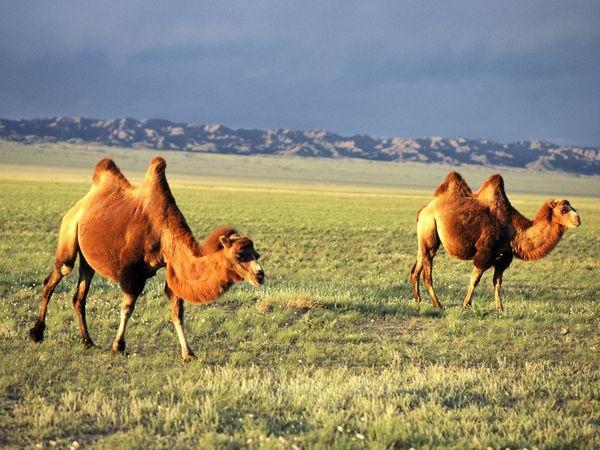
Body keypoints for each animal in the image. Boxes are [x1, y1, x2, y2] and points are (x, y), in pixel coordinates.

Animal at [28, 156, 262, 360]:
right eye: (240, 255)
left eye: (257, 254)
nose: (260, 275)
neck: (164, 234)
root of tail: (80, 204)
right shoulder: (132, 274)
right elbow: (127, 308)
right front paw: (118, 346)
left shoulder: (171, 268)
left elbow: (177, 312)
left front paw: (188, 354)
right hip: (69, 234)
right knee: (55, 276)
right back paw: (36, 333)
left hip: (88, 258)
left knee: (79, 296)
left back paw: (88, 341)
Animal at [410, 171, 580, 310]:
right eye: (563, 210)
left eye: (574, 208)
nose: (578, 220)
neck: (513, 230)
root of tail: (424, 210)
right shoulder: (485, 252)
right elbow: (475, 280)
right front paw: (466, 305)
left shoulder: (503, 257)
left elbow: (497, 282)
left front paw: (500, 308)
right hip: (429, 229)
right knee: (427, 273)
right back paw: (438, 304)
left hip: (424, 237)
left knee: (416, 268)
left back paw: (418, 300)